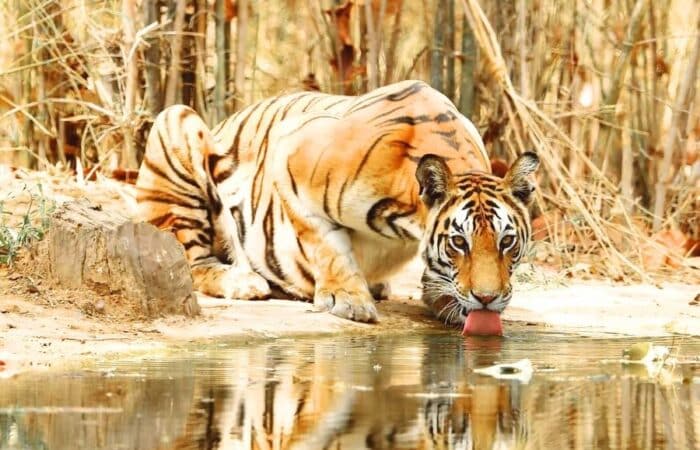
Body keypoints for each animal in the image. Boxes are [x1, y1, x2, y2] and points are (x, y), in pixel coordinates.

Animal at [135, 80, 539, 326]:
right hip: (176, 124)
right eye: (459, 242)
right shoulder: (289, 158)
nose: (487, 299)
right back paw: (244, 281)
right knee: (191, 262)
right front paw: (349, 300)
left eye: (507, 242)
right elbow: (326, 244)